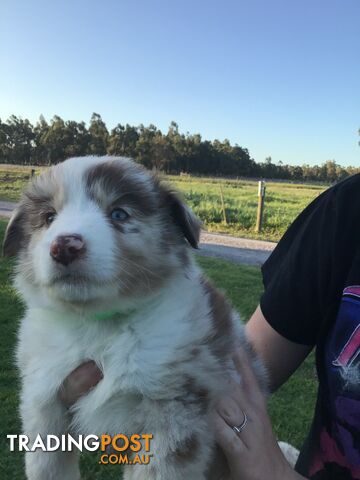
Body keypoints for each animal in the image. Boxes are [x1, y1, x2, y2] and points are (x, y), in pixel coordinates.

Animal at [4, 156, 266, 478]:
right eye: (49, 217)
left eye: (119, 214)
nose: (64, 246)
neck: (97, 323)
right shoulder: (43, 396)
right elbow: (46, 465)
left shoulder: (176, 414)